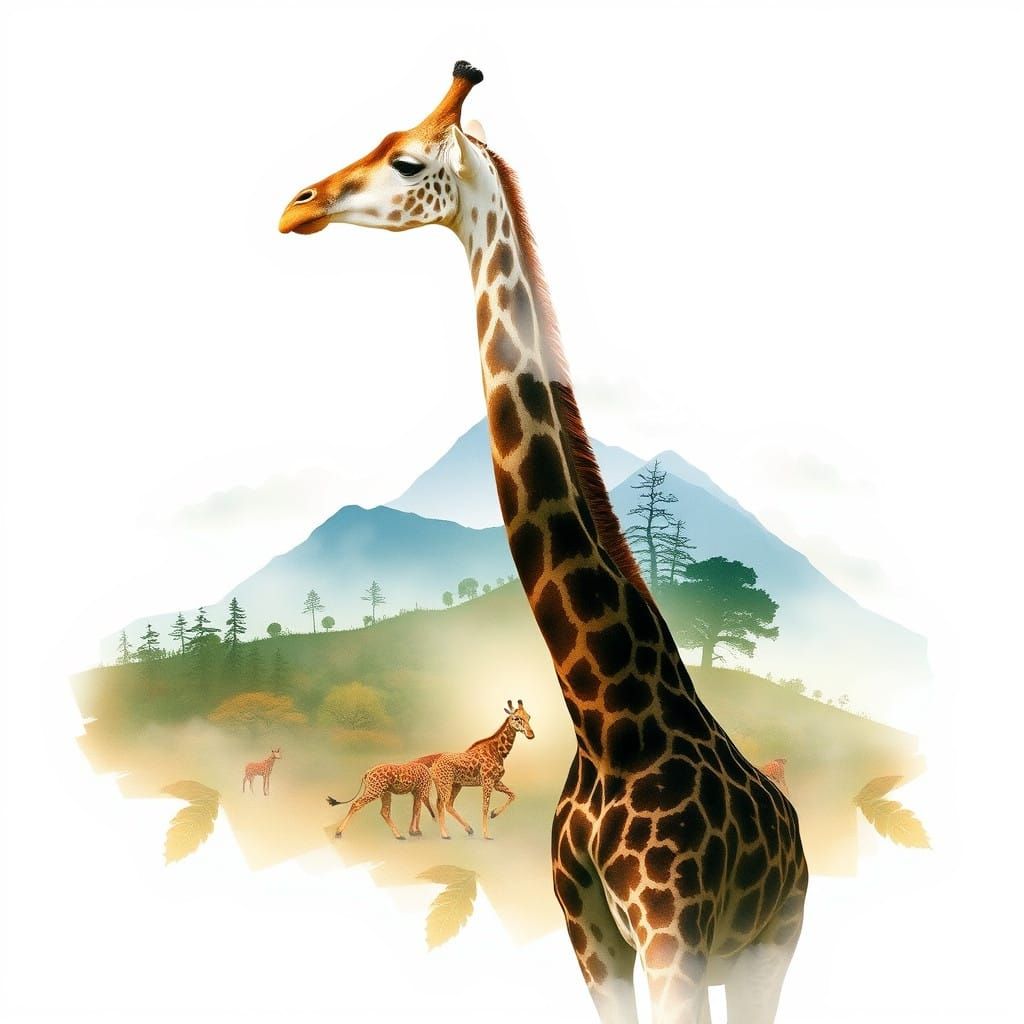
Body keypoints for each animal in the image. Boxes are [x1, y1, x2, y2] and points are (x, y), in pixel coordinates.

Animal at [430, 699, 535, 841]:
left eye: (529, 717)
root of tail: (434, 766)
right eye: (516, 718)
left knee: (447, 804)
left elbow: (513, 794)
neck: (500, 752)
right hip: (445, 784)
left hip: (455, 785)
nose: (531, 734)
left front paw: (494, 813)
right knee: (441, 804)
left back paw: (468, 829)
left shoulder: (495, 781)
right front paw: (486, 835)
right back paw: (445, 834)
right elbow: (485, 806)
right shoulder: (487, 780)